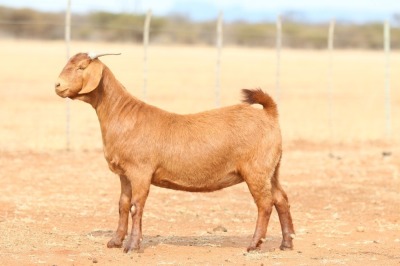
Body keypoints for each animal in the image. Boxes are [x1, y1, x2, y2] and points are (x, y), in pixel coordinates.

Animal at [54, 52, 296, 254]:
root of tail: (269, 114)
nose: (57, 85)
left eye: (82, 67)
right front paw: (114, 241)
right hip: (272, 169)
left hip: (256, 169)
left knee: (265, 203)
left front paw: (132, 246)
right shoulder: (125, 174)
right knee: (281, 198)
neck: (123, 114)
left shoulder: (140, 171)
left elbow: (136, 206)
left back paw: (254, 244)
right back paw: (286, 243)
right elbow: (123, 205)